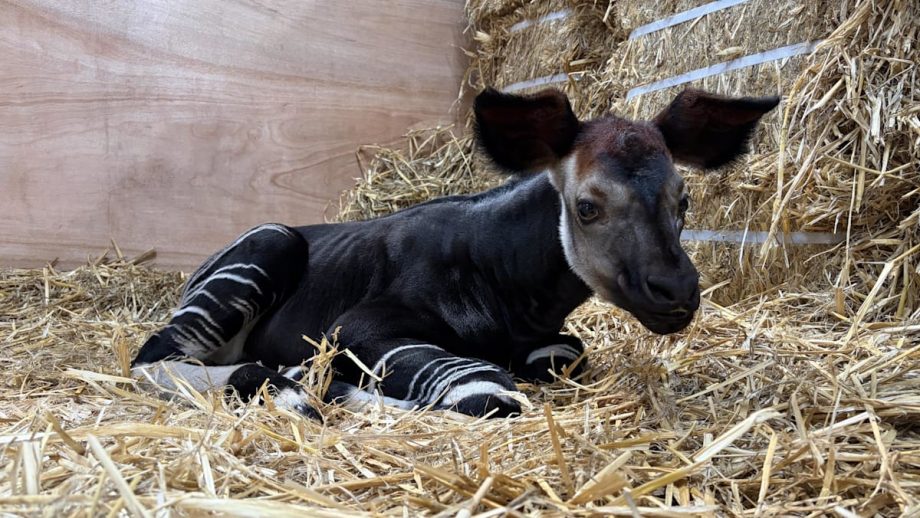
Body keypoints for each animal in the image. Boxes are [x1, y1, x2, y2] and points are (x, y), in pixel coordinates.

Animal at [131, 88, 779, 420]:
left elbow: (562, 356)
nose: (678, 292)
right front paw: (330, 389)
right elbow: (485, 388)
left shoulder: (551, 343)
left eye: (684, 200)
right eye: (587, 206)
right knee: (152, 358)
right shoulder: (357, 327)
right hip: (268, 244)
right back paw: (288, 385)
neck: (512, 287)